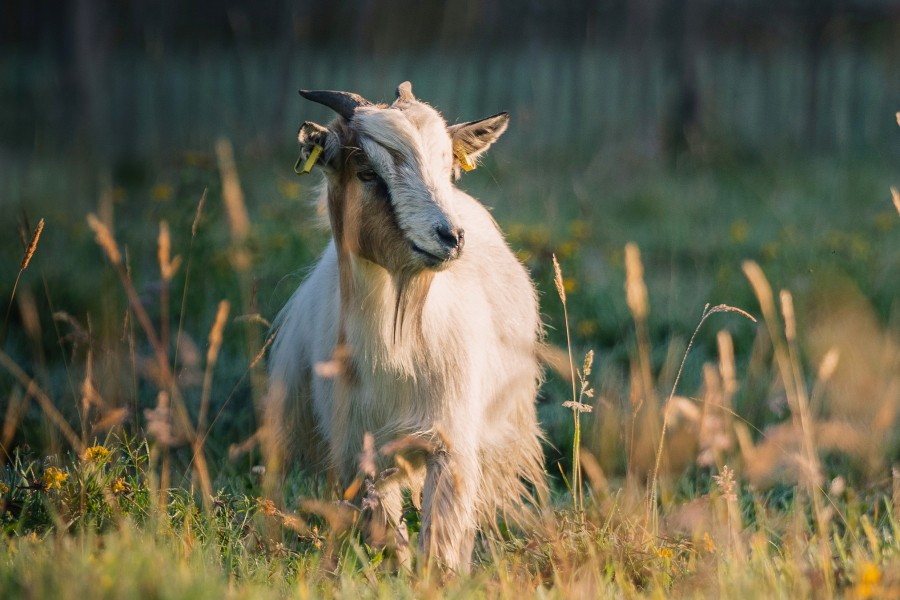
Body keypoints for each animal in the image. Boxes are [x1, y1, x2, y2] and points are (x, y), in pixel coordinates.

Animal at [266, 81, 548, 572]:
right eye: (366, 172)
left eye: (447, 170)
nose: (450, 236)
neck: (397, 350)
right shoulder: (357, 452)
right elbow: (384, 532)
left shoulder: (451, 443)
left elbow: (442, 541)